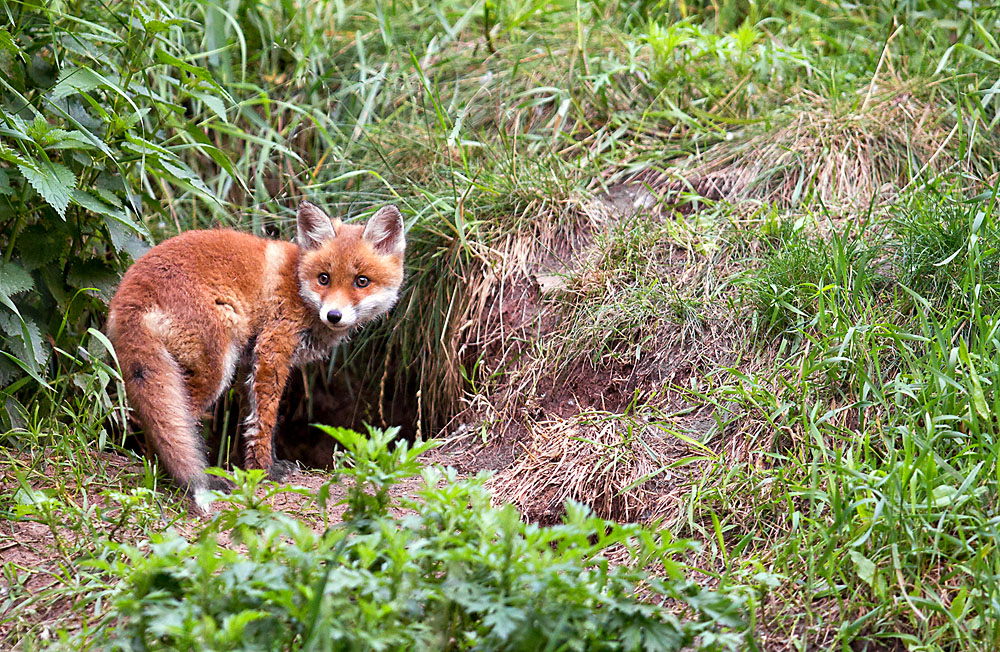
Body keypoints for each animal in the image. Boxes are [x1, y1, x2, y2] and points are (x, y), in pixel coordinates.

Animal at [106, 200, 405, 508]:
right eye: (324, 278)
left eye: (361, 281)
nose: (334, 315)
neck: (298, 285)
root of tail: (129, 295)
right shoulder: (273, 349)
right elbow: (266, 421)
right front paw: (265, 471)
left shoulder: (250, 362)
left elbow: (252, 421)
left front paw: (258, 464)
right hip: (214, 370)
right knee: (179, 424)